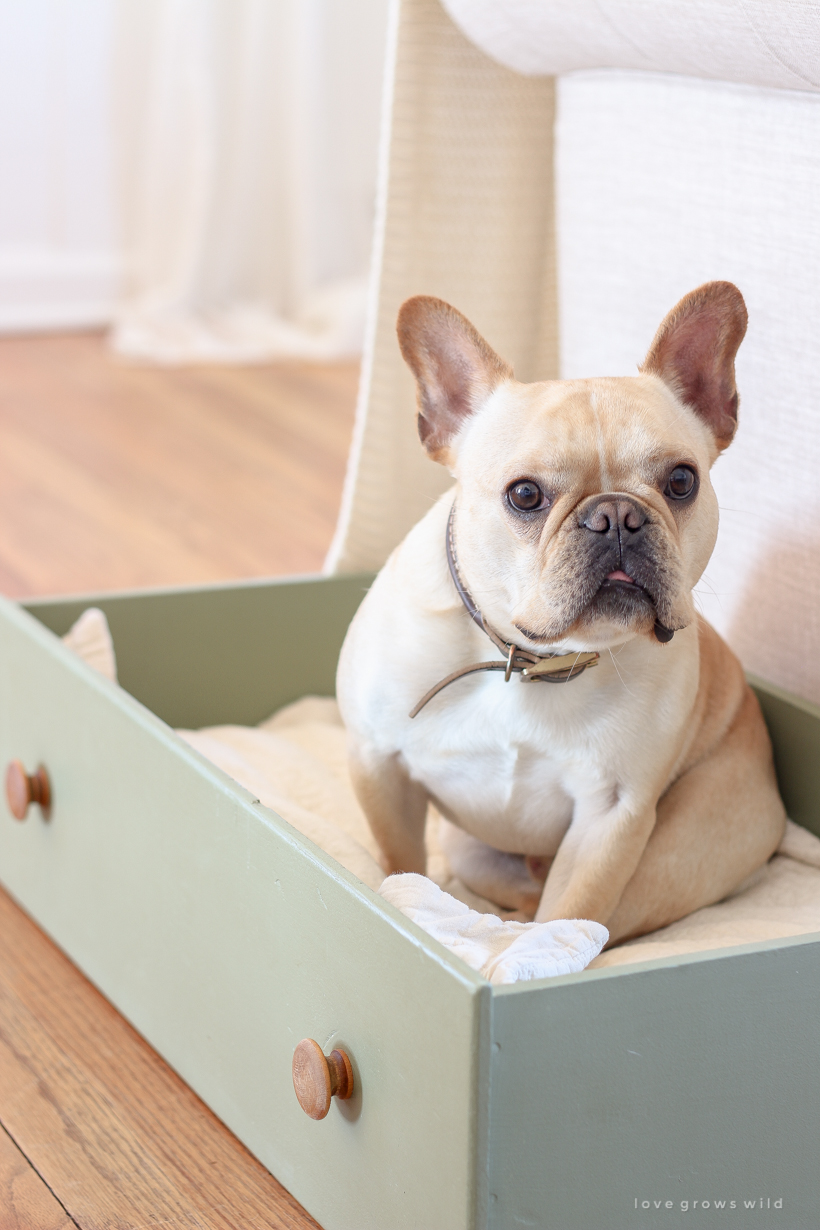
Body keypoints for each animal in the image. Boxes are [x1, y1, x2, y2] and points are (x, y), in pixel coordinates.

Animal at [336, 285, 786, 939]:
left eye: (681, 481)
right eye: (524, 495)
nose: (617, 516)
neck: (531, 660)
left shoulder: (611, 815)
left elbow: (570, 914)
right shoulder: (378, 763)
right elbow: (402, 866)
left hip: (672, 854)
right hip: (469, 849)